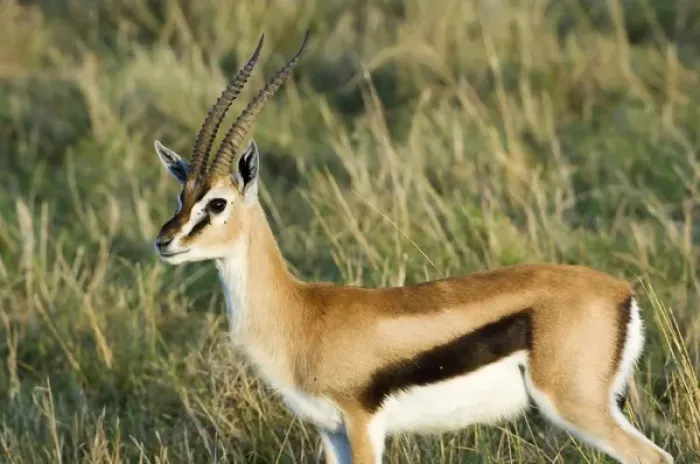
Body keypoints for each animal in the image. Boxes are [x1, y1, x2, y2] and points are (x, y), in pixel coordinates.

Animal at [151, 31, 673, 464]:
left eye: (217, 203)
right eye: (181, 196)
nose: (163, 242)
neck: (301, 314)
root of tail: (622, 292)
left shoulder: (360, 423)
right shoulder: (331, 432)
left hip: (576, 405)